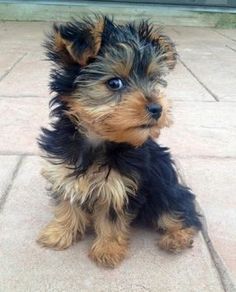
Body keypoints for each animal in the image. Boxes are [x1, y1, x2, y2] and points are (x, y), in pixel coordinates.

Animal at [37, 15, 202, 266]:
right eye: (114, 83)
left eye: (153, 79)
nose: (157, 108)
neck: (98, 139)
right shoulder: (65, 173)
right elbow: (68, 204)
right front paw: (60, 232)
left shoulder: (119, 187)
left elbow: (111, 219)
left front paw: (107, 250)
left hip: (167, 191)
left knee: (181, 214)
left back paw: (177, 238)